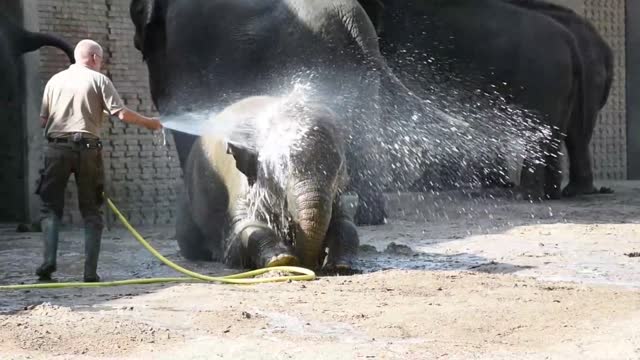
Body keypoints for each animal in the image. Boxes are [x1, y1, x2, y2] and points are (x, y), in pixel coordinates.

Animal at [175, 94, 360, 272]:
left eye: (339, 171)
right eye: (281, 172)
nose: (311, 264)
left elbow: (345, 222)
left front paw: (340, 265)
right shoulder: (242, 190)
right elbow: (243, 230)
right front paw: (282, 260)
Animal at [360, 0, 584, 200]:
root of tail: (570, 42)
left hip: (542, 80)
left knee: (537, 132)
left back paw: (526, 196)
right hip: (561, 88)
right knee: (555, 134)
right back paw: (549, 195)